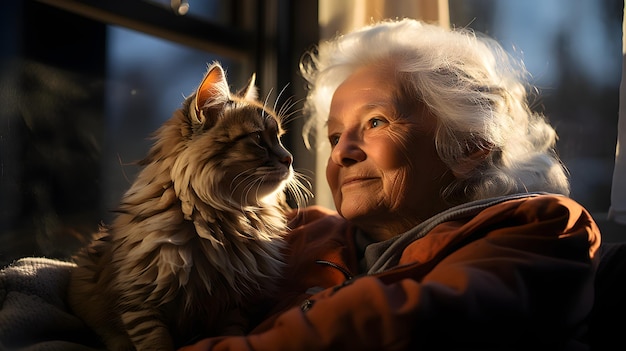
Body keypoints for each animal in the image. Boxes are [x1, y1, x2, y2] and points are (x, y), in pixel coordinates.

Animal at [67, 62, 308, 350]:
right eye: (259, 138)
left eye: (279, 137)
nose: (290, 159)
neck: (224, 221)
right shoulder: (140, 301)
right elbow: (156, 343)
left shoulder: (234, 303)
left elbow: (232, 336)